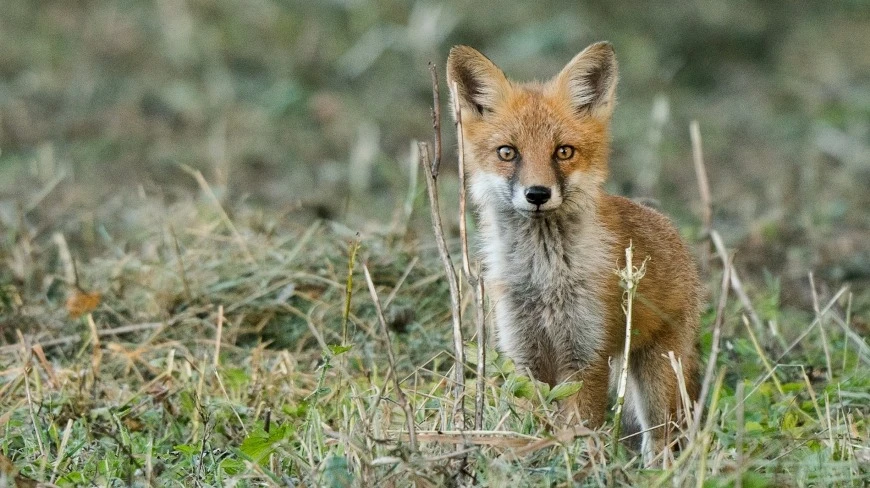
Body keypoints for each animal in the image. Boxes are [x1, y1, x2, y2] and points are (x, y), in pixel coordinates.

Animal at [446, 41, 704, 462]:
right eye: (507, 153)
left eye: (563, 152)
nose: (537, 194)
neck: (544, 277)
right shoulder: (523, 354)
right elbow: (531, 421)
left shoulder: (586, 355)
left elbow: (580, 427)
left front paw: (581, 464)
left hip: (656, 377)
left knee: (662, 437)